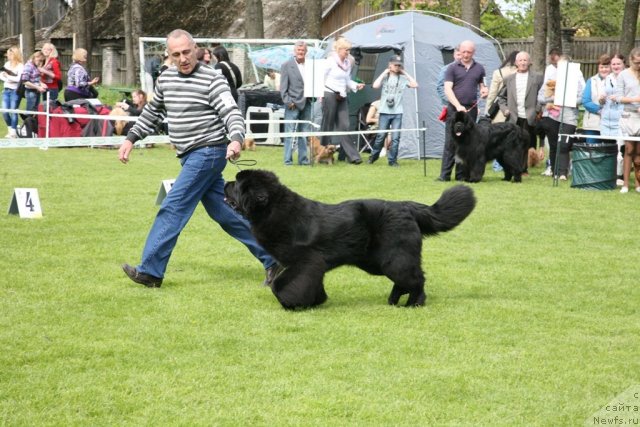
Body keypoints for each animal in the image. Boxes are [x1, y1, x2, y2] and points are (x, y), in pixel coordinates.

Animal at [225, 170, 476, 310]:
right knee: (406, 279)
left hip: (395, 257)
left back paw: (414, 303)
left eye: (238, 184)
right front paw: (316, 300)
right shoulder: (307, 266)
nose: (226, 183)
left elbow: (281, 285)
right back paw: (393, 301)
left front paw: (292, 303)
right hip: (379, 261)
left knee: (415, 279)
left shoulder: (305, 262)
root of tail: (406, 206)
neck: (274, 209)